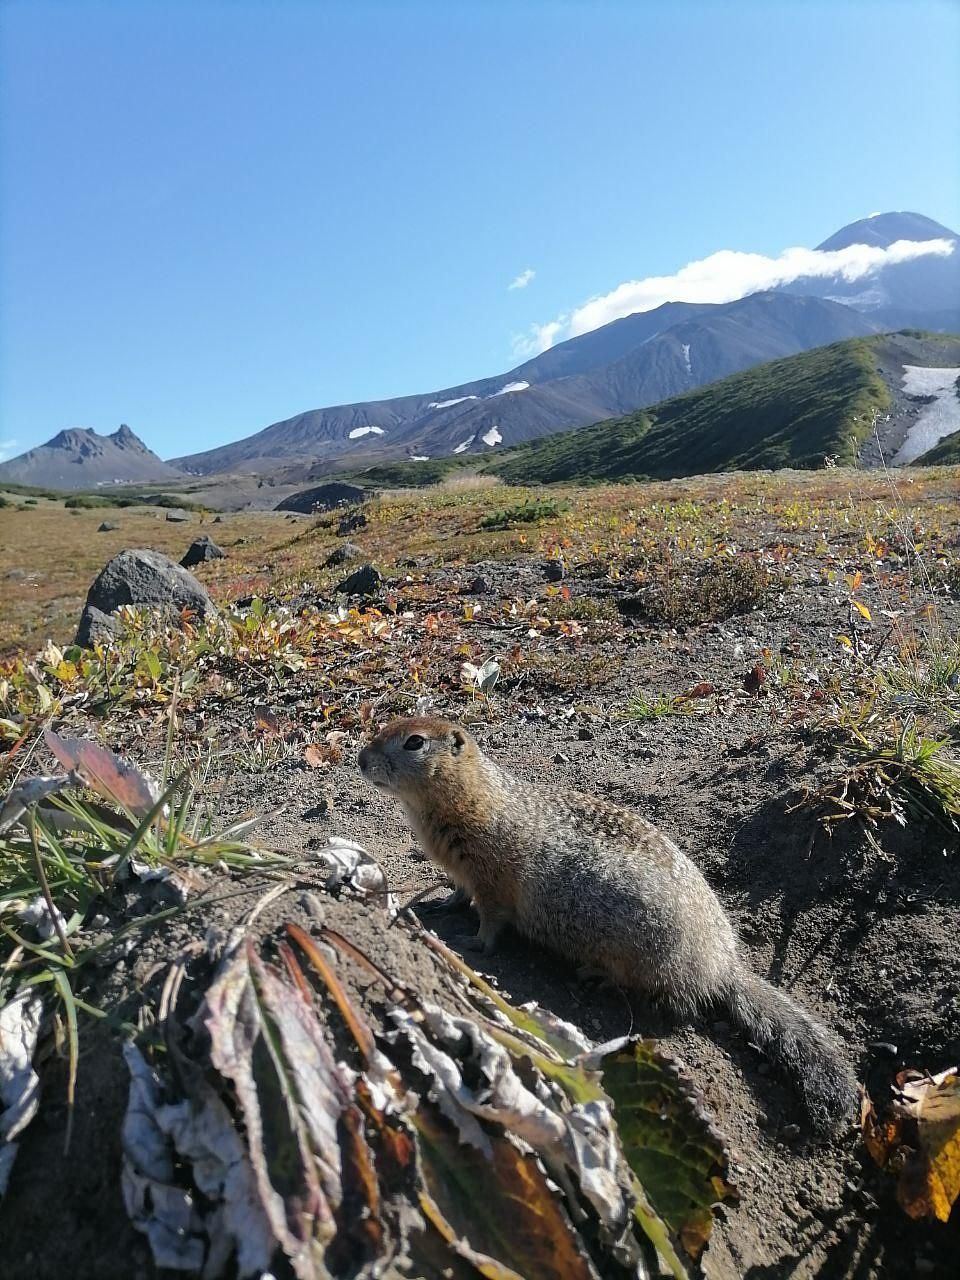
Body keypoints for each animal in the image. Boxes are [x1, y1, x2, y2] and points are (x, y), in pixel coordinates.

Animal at [358, 716, 860, 1136]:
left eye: (414, 742)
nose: (361, 759)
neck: (469, 795)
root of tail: (723, 964)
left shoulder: (491, 876)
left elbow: (492, 918)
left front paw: (473, 942)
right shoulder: (462, 872)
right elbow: (460, 894)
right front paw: (441, 906)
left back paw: (597, 976)